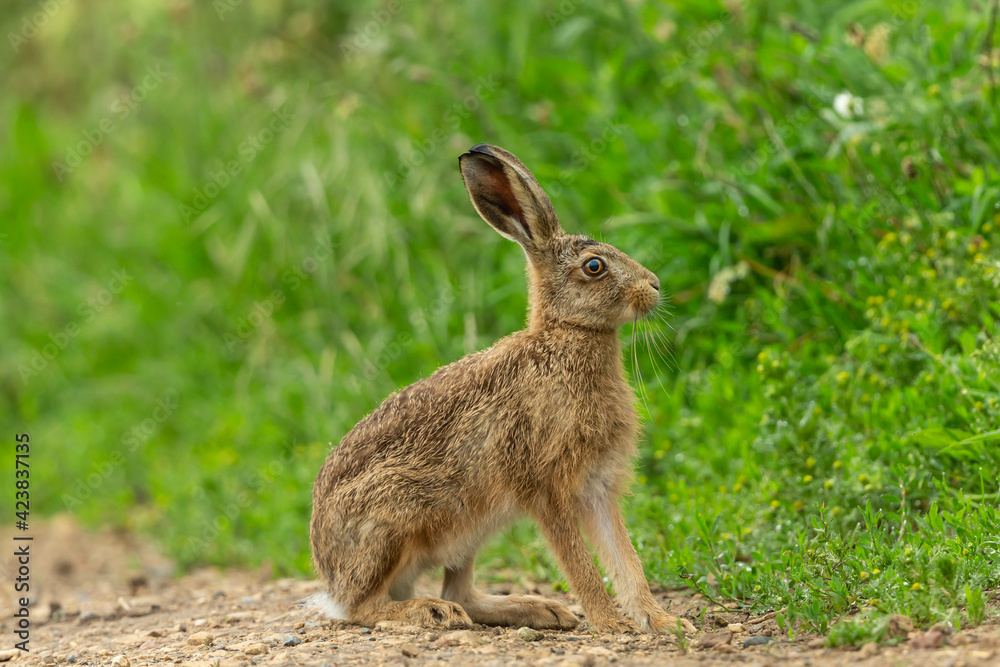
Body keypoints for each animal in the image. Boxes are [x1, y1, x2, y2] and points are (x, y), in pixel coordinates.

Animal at [309, 144, 695, 636]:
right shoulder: (546, 484)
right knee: (362, 607)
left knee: (460, 592)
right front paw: (611, 623)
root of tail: (328, 571)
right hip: (395, 519)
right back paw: (429, 612)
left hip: (469, 527)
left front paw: (662, 621)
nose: (655, 286)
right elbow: (581, 563)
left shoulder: (598, 485)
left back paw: (537, 609)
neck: (564, 337)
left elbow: (626, 559)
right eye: (595, 266)